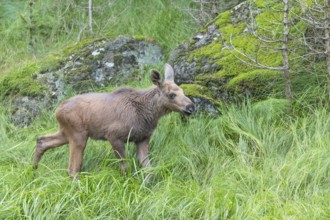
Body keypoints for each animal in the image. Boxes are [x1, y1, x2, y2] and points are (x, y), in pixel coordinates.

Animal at [32, 64, 195, 179]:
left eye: (183, 91)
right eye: (171, 94)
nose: (191, 107)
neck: (147, 115)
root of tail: (57, 110)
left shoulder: (142, 138)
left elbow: (148, 169)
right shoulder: (114, 136)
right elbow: (125, 167)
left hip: (66, 132)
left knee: (42, 140)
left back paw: (33, 170)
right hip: (78, 135)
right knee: (72, 169)